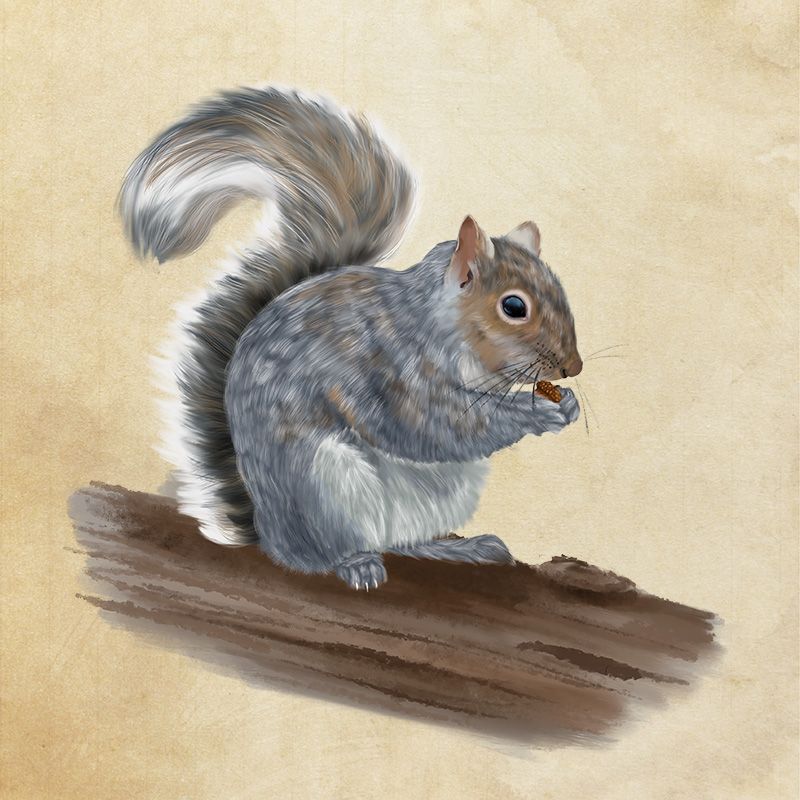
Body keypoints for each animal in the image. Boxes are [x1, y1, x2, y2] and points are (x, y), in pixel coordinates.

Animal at [118, 86, 583, 591]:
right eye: (513, 307)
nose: (573, 367)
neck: (437, 326)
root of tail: (266, 529)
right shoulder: (387, 367)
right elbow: (437, 426)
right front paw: (535, 411)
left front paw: (568, 403)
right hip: (323, 486)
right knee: (322, 553)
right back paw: (354, 562)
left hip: (445, 492)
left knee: (402, 540)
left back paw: (454, 547)